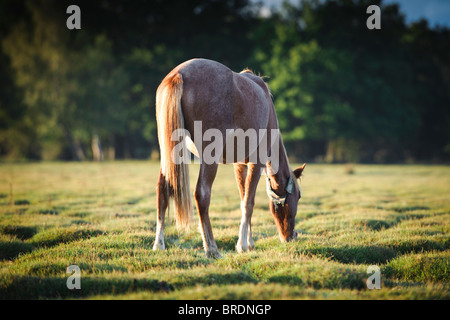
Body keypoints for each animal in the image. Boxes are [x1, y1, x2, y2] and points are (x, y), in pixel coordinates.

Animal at [152, 58, 306, 258]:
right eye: (298, 196)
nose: (291, 237)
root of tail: (178, 75)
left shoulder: (240, 165)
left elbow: (243, 198)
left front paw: (249, 242)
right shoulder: (256, 163)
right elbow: (249, 202)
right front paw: (243, 245)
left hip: (169, 154)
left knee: (162, 190)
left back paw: (159, 244)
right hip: (209, 158)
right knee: (202, 194)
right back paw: (211, 248)